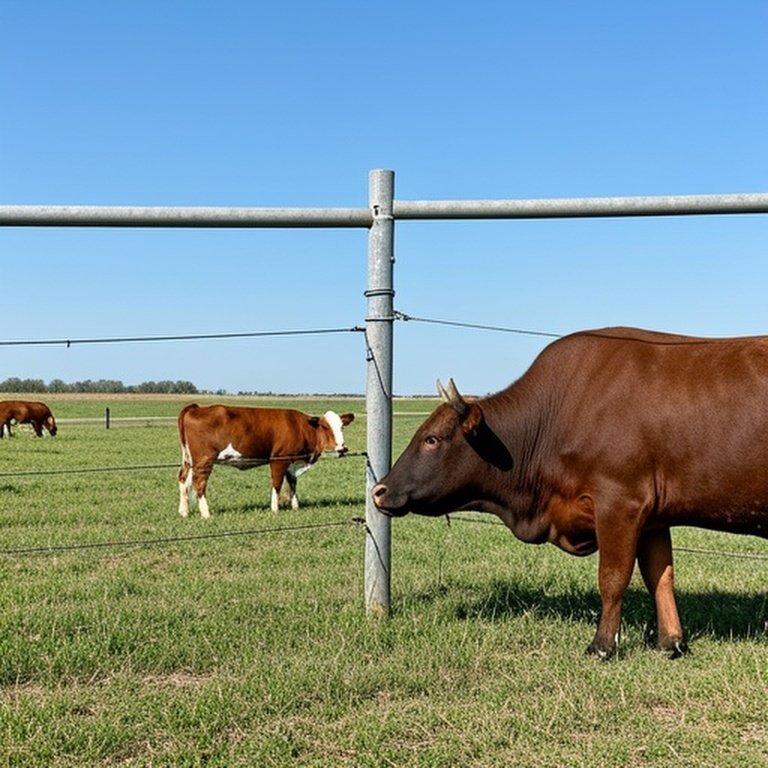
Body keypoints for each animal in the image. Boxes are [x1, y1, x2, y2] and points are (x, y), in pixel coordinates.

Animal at [178, 403, 354, 518]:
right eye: (325, 427)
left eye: (342, 427)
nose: (342, 448)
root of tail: (195, 407)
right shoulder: (278, 459)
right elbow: (277, 484)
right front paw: (275, 509)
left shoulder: (291, 462)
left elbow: (292, 483)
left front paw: (295, 506)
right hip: (204, 460)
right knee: (199, 483)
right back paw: (206, 513)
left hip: (190, 461)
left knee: (184, 480)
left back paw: (184, 512)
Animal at [372, 327, 768, 659]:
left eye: (432, 439)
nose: (379, 490)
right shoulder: (653, 516)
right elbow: (659, 575)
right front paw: (671, 642)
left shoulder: (619, 502)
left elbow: (612, 578)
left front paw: (602, 646)